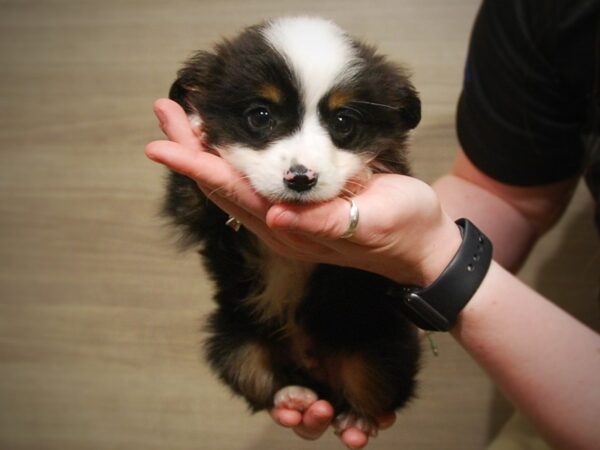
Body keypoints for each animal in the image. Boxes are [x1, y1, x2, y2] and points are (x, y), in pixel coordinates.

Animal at [164, 17, 422, 436]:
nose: (301, 179)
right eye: (260, 116)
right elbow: (191, 193)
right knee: (263, 381)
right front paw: (199, 125)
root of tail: (315, 371)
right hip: (231, 339)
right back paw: (294, 396)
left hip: (382, 345)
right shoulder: (195, 216)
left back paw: (358, 417)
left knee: (374, 391)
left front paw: (365, 173)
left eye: (343, 122)